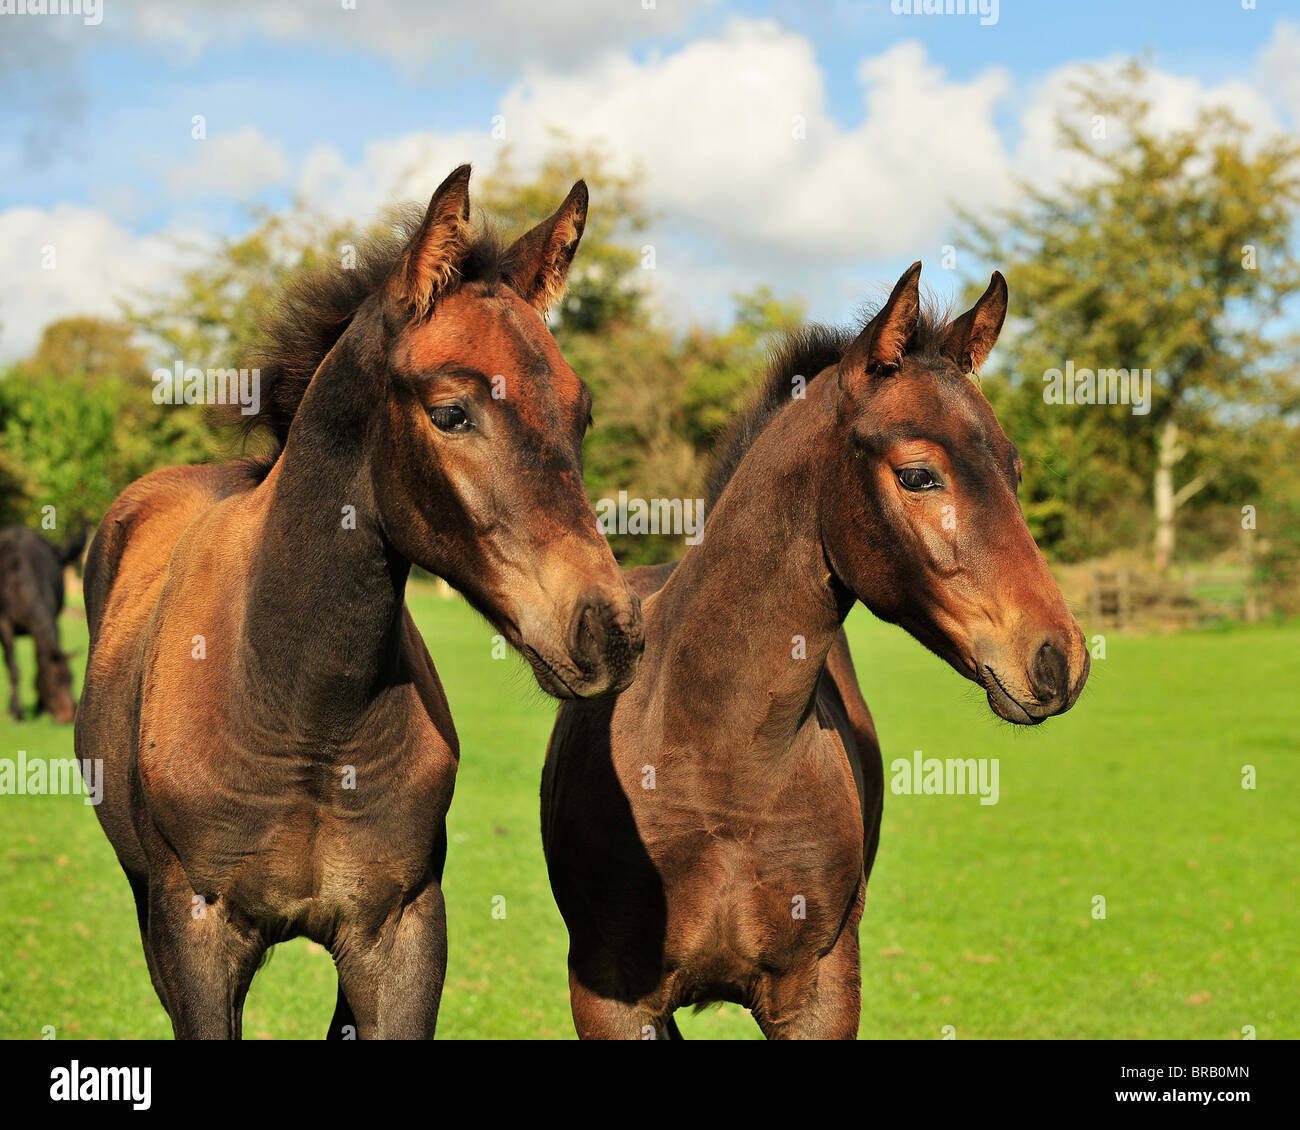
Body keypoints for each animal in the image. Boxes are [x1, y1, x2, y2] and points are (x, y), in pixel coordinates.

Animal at [0, 522, 83, 717]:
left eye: (71, 678)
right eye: (55, 681)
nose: (68, 715)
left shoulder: (51, 621)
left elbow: (40, 660)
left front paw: (40, 707)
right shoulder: (4, 624)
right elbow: (13, 667)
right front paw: (17, 711)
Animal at [73, 167, 642, 1040]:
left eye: (579, 414)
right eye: (451, 412)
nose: (608, 630)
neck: (305, 711)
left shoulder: (399, 932)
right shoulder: (195, 934)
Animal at [543, 263, 1092, 1040]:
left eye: (1013, 470)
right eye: (918, 475)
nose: (1059, 660)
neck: (717, 764)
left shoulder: (821, 990)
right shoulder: (613, 1000)